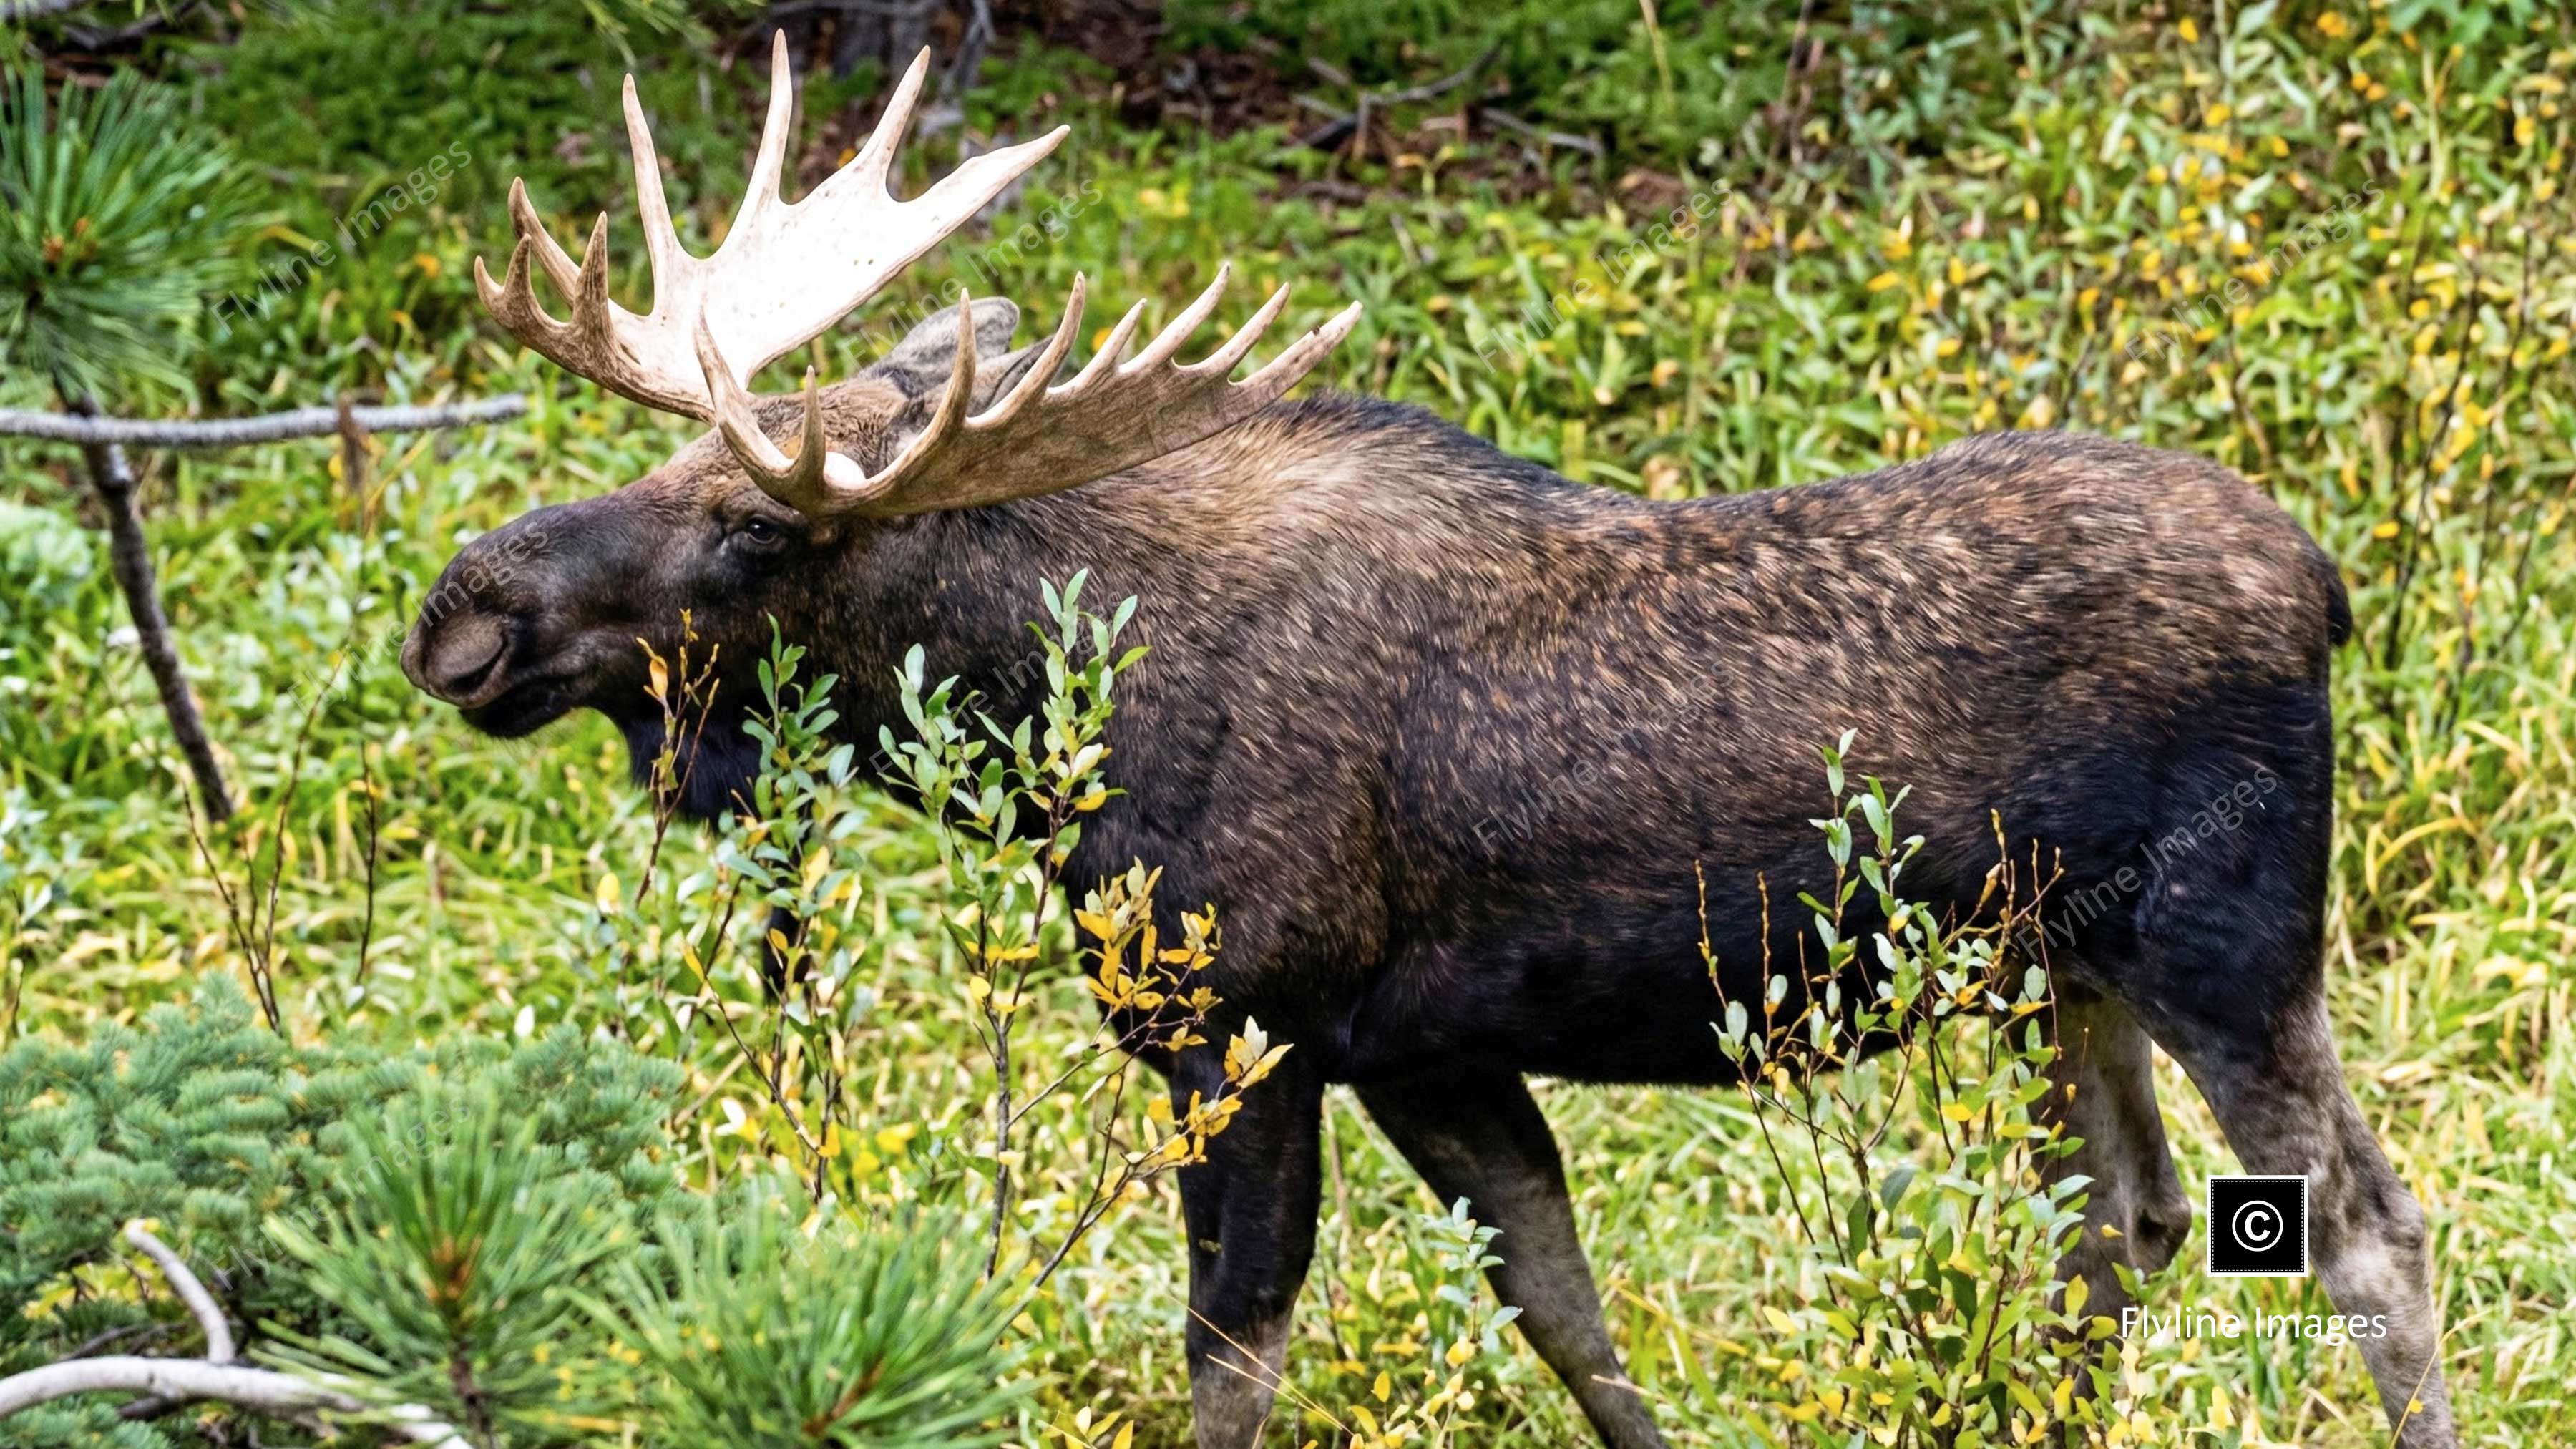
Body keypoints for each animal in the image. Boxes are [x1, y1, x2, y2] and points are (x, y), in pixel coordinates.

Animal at [402, 38, 2454, 1448]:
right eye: (680, 448)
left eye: (756, 524)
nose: (464, 606)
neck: (1048, 713)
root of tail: (2332, 582)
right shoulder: (1432, 1056)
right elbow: (1570, 1315)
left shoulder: (1239, 1033)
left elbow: (1232, 1361)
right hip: (2054, 965)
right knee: (2126, 1215)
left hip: (2226, 939)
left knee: (2366, 1226)